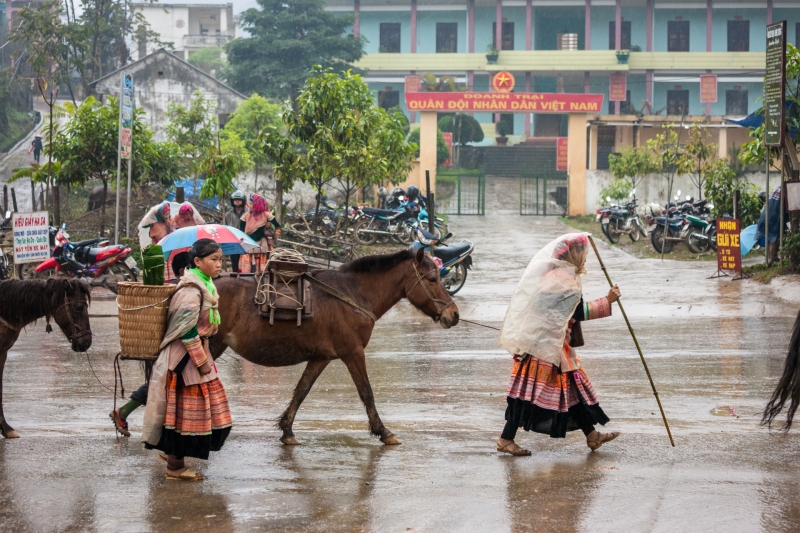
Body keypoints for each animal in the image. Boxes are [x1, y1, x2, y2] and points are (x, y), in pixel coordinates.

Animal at [209, 248, 460, 444]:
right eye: (432, 279)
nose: (454, 314)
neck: (353, 294)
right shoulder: (353, 353)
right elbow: (366, 392)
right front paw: (383, 431)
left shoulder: (322, 357)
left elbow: (302, 390)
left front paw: (287, 429)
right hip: (212, 345)